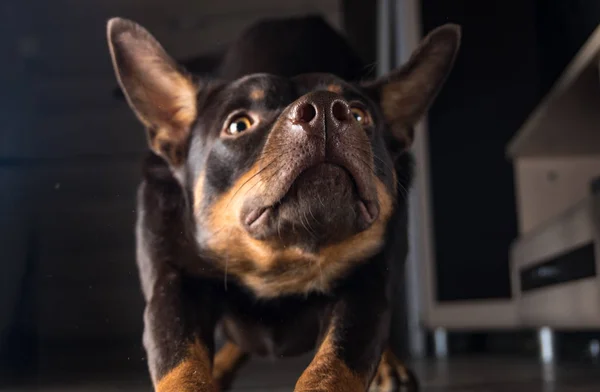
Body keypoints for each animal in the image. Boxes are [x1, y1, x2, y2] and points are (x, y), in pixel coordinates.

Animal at [106, 13, 460, 390]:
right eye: (238, 125)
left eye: (359, 115)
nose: (324, 108)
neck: (281, 258)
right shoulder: (172, 289)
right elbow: (182, 367)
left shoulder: (366, 290)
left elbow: (332, 366)